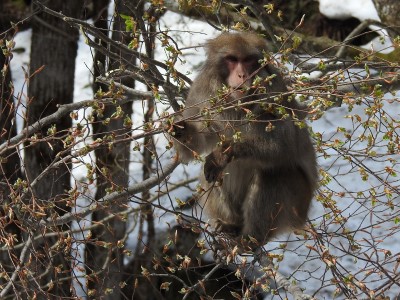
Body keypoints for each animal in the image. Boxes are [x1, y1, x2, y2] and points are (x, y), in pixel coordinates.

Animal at [170, 32, 318, 246]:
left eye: (248, 60)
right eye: (232, 59)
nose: (242, 75)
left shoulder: (274, 93)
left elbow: (282, 146)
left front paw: (222, 154)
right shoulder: (201, 92)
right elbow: (195, 148)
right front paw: (180, 130)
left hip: (297, 205)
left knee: (274, 173)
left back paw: (250, 240)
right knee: (211, 176)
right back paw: (230, 224)